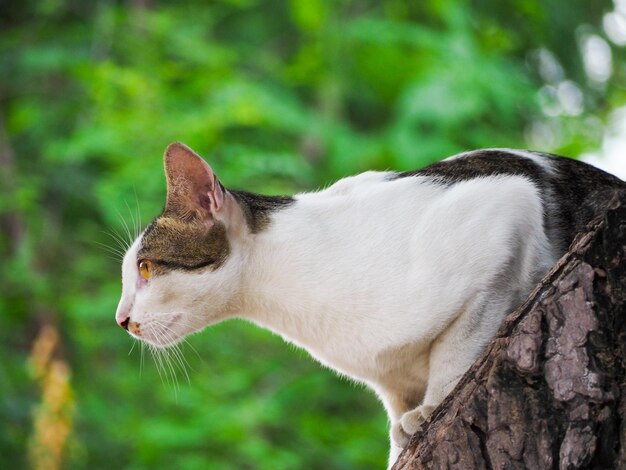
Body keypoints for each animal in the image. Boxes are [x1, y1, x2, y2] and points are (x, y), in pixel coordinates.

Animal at [114, 142, 620, 466]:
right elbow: (395, 409)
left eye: (145, 268)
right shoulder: (390, 379)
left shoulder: (505, 221)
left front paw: (431, 408)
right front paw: (402, 440)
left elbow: (457, 350)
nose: (121, 320)